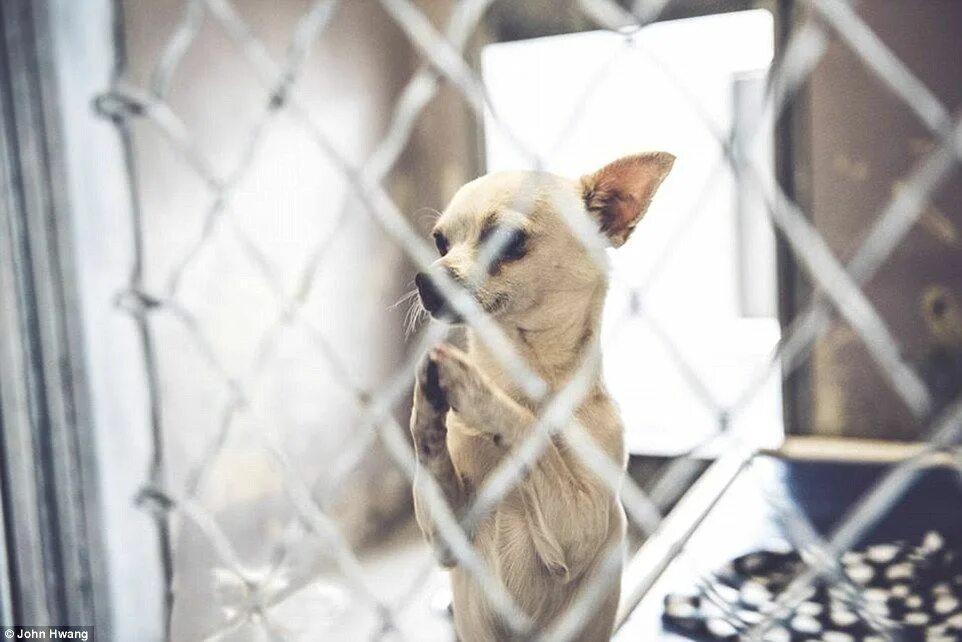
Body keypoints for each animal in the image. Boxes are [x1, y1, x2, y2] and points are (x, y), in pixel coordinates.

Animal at [408, 152, 672, 636]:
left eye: (508, 241)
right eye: (440, 243)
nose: (425, 281)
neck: (523, 382)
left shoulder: (577, 532)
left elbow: (531, 431)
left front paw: (480, 394)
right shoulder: (447, 542)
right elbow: (432, 453)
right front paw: (427, 406)